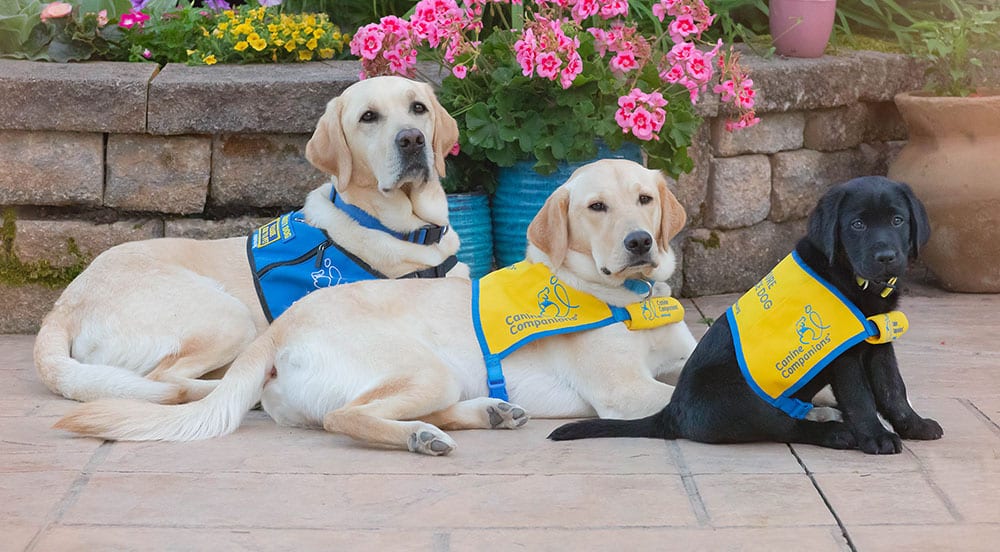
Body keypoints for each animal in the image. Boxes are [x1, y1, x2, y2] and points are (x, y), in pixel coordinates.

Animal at [34, 75, 464, 406]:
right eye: (368, 117)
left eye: (418, 108)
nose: (411, 140)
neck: (411, 232)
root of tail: (63, 305)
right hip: (226, 316)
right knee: (166, 380)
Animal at [52, 161, 696, 458]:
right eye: (595, 207)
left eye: (644, 199)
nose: (640, 242)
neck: (632, 301)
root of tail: (280, 330)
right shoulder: (625, 392)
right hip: (416, 366)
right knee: (348, 416)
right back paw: (421, 437)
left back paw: (485, 413)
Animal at [556, 177, 944, 452]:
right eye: (857, 225)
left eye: (898, 220)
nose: (886, 256)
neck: (854, 281)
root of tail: (671, 414)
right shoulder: (844, 355)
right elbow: (861, 397)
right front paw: (875, 437)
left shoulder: (879, 343)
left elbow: (893, 389)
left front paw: (914, 425)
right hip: (742, 399)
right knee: (784, 426)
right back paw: (837, 434)